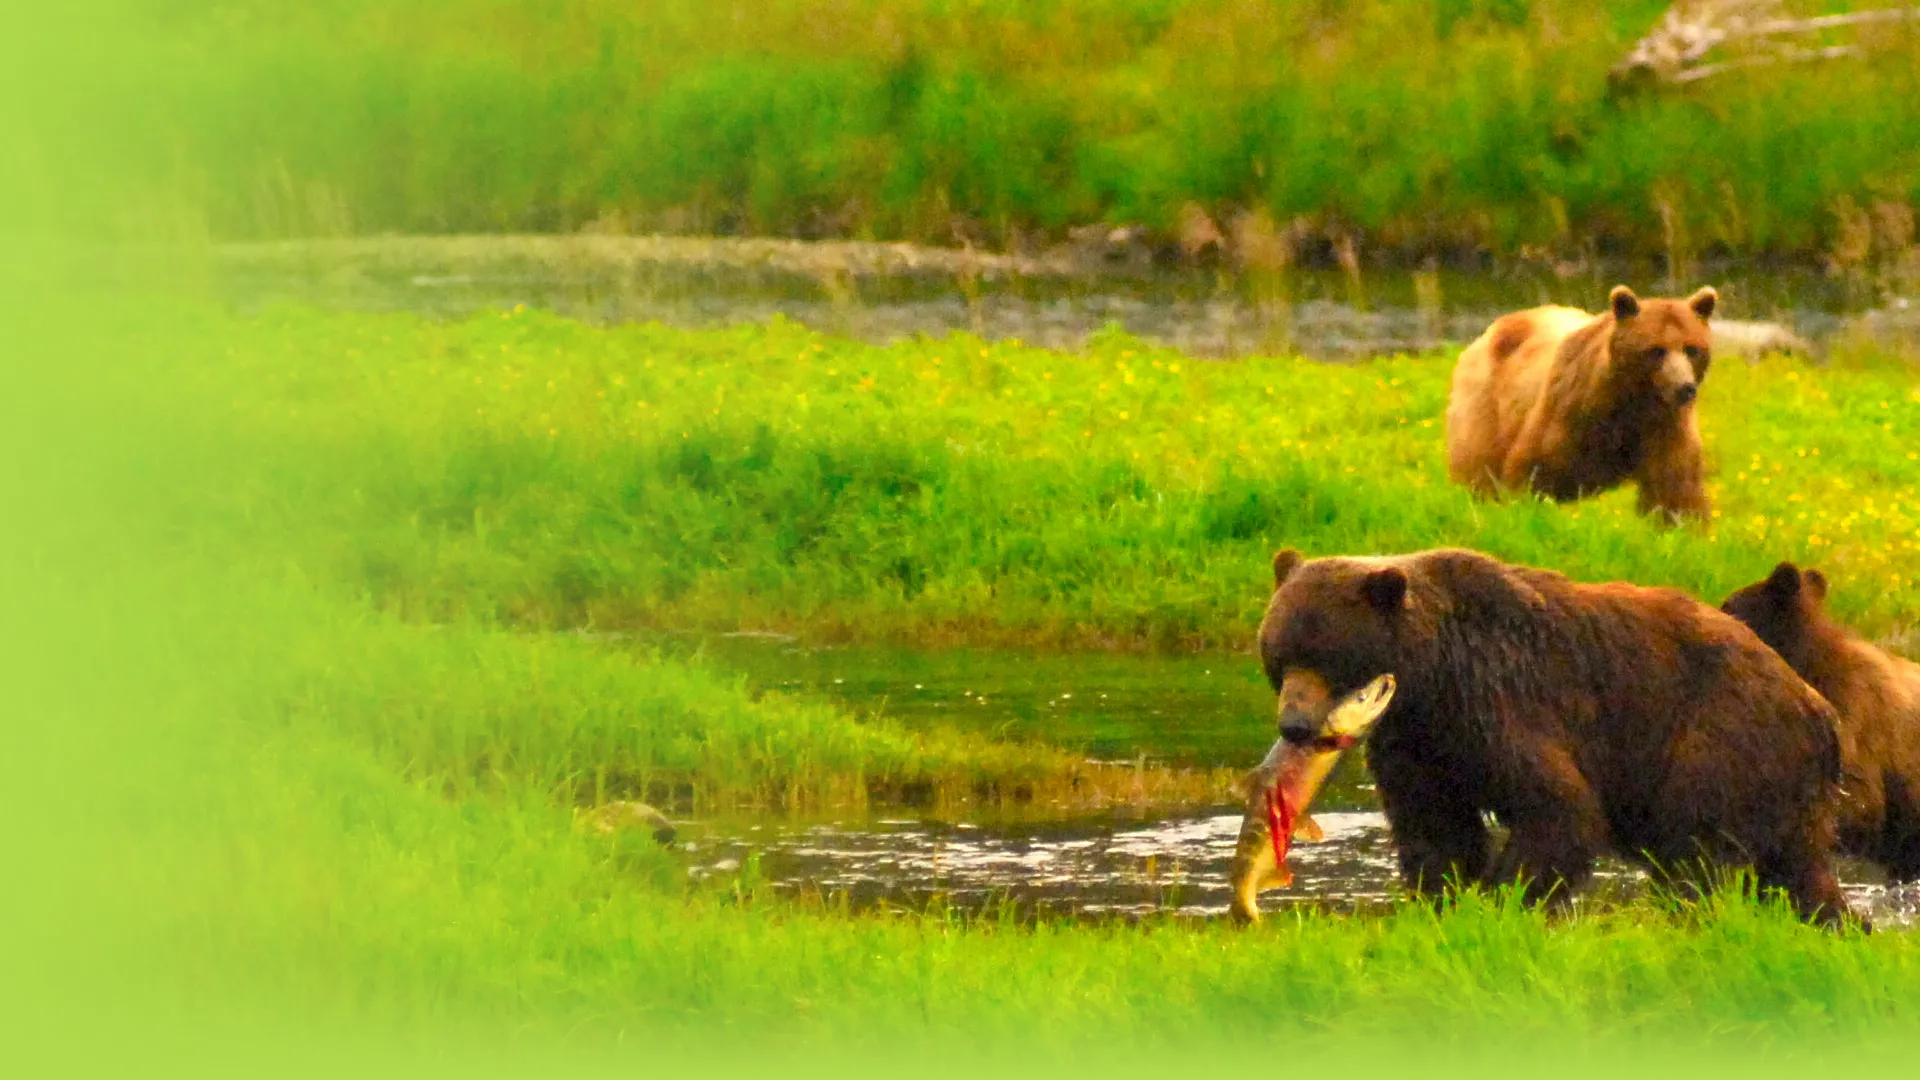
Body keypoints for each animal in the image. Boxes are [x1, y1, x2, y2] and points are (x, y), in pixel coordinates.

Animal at [1258, 546, 1858, 926]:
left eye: (1326, 658)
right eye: (1279, 656)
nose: (1294, 725)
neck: (1431, 677)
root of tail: (1821, 710)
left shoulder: (1502, 702)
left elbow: (1557, 805)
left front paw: (1503, 901)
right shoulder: (1421, 744)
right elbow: (1434, 825)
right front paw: (1440, 897)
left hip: (1717, 741)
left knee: (1695, 850)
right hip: (1784, 790)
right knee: (1799, 874)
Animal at [1445, 284, 1717, 523]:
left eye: (1692, 349)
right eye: (1656, 350)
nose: (1684, 387)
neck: (1628, 401)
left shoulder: (1664, 425)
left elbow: (1675, 486)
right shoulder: (1568, 414)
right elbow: (1534, 469)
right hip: (1486, 404)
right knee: (1479, 463)